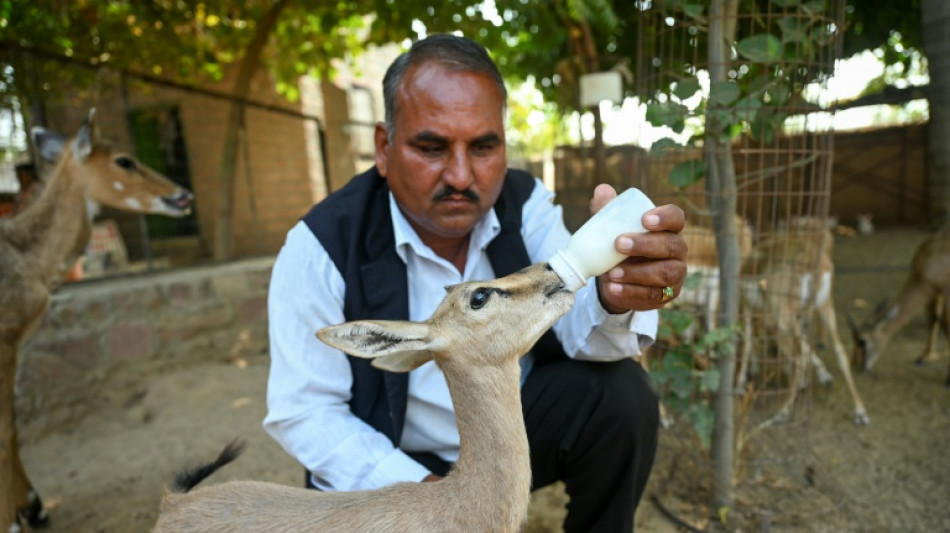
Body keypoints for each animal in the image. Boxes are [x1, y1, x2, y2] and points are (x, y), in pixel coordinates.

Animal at [0, 110, 195, 528]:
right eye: (124, 160)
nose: (182, 194)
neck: (27, 257)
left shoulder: (14, 344)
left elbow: (12, 429)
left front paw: (34, 506)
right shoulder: (5, 340)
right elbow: (5, 431)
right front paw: (15, 520)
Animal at [852, 221, 950, 386]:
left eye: (863, 341)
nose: (856, 366)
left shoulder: (945, 291)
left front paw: (947, 379)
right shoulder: (934, 292)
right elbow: (934, 319)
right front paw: (923, 357)